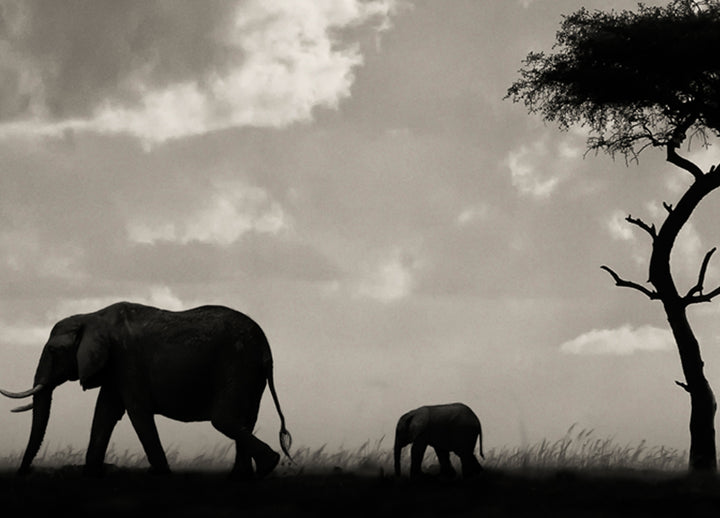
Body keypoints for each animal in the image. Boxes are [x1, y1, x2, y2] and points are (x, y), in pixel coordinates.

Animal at [1, 301, 292, 478]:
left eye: (53, 350)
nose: (23, 473)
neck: (92, 316)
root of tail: (267, 349)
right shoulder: (115, 367)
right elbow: (104, 412)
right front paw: (90, 474)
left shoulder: (127, 362)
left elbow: (136, 413)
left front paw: (163, 475)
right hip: (250, 372)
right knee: (245, 419)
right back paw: (243, 477)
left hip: (238, 364)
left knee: (224, 419)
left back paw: (267, 466)